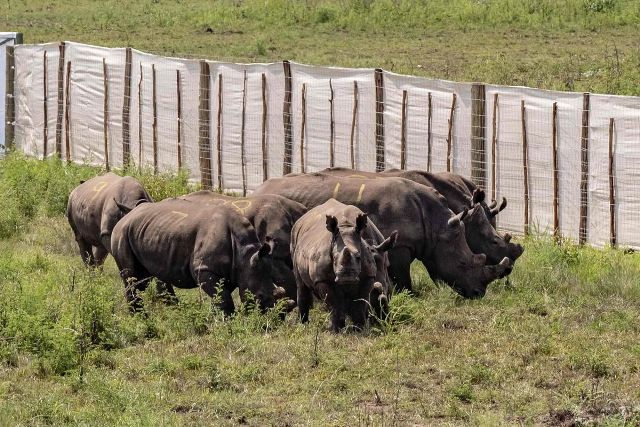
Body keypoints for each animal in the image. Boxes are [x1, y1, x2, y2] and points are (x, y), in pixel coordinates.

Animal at [110, 198, 289, 314]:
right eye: (260, 296)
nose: (276, 320)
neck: (245, 255)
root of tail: (127, 215)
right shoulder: (204, 268)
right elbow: (223, 299)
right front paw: (227, 322)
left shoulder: (230, 271)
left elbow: (220, 296)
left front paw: (215, 319)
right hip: (122, 232)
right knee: (132, 278)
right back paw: (141, 317)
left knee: (148, 277)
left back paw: (174, 311)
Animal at [253, 173, 511, 297]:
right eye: (463, 264)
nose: (478, 294)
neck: (437, 226)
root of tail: (259, 188)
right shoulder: (400, 246)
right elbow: (402, 279)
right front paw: (410, 297)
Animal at [292, 199, 396, 331]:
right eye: (334, 258)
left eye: (359, 257)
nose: (347, 277)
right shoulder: (322, 279)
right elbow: (334, 304)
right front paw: (336, 330)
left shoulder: (369, 275)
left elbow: (359, 303)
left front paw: (359, 329)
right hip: (295, 239)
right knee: (301, 286)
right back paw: (303, 325)